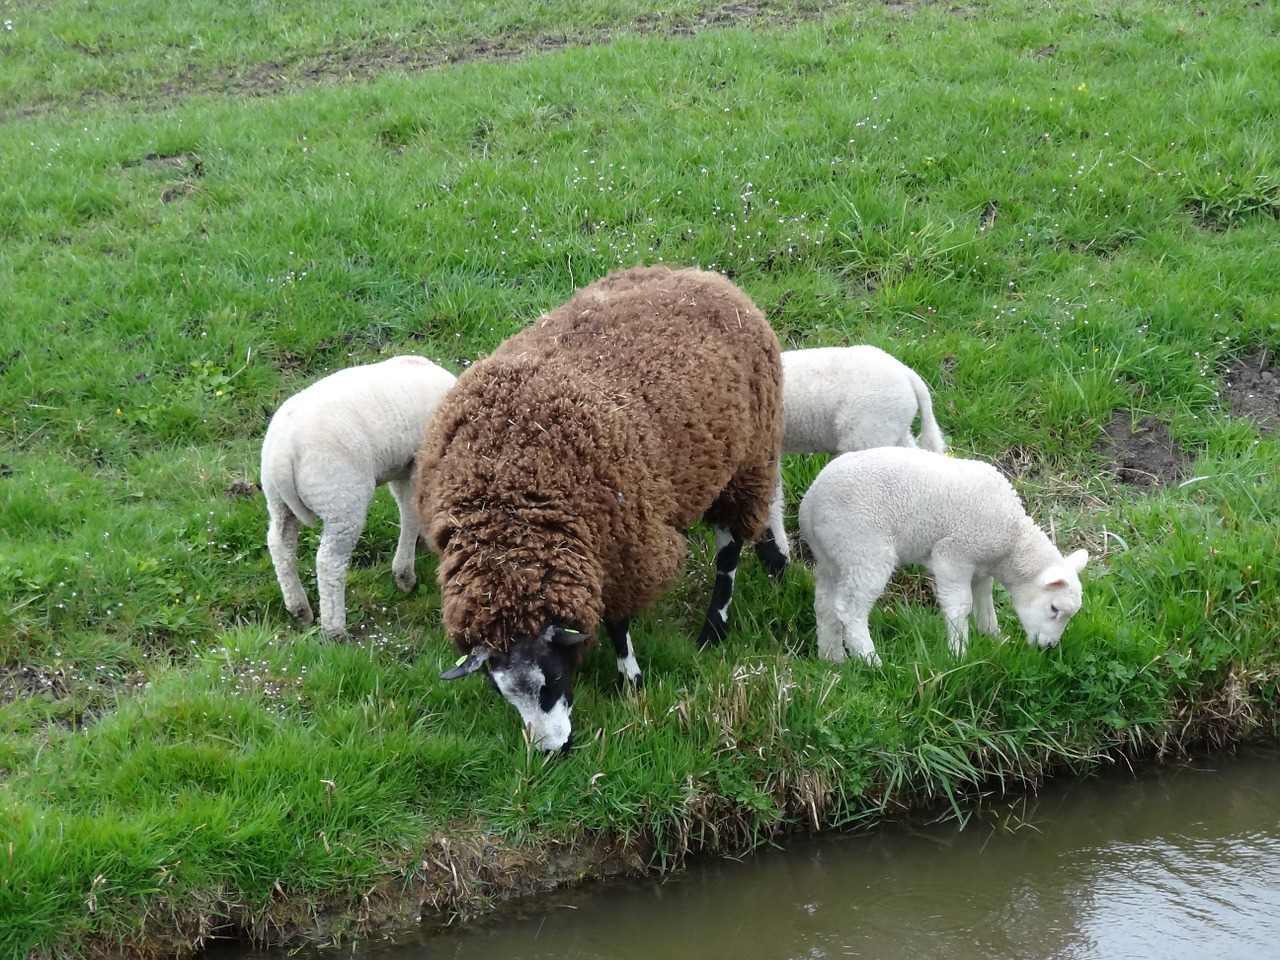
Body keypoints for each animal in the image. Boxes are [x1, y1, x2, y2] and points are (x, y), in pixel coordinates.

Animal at [262, 353, 458, 640]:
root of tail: (282, 454)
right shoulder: (416, 462)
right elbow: (411, 511)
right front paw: (405, 574)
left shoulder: (403, 467)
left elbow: (409, 508)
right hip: (340, 496)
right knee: (329, 562)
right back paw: (334, 630)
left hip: (277, 500)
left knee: (280, 544)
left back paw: (299, 610)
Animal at [414, 267, 783, 757]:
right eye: (500, 691)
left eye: (552, 677)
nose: (552, 752)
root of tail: (706, 277)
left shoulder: (626, 549)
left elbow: (617, 623)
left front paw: (632, 680)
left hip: (748, 462)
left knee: (729, 553)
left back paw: (712, 632)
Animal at [798, 448, 1090, 665]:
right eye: (1054, 609)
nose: (1048, 647)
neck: (1013, 543)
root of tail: (809, 505)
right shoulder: (953, 554)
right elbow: (960, 605)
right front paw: (958, 653)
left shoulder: (980, 564)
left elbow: (985, 599)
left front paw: (992, 636)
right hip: (864, 548)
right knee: (850, 609)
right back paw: (871, 661)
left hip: (835, 555)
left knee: (825, 604)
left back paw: (832, 658)